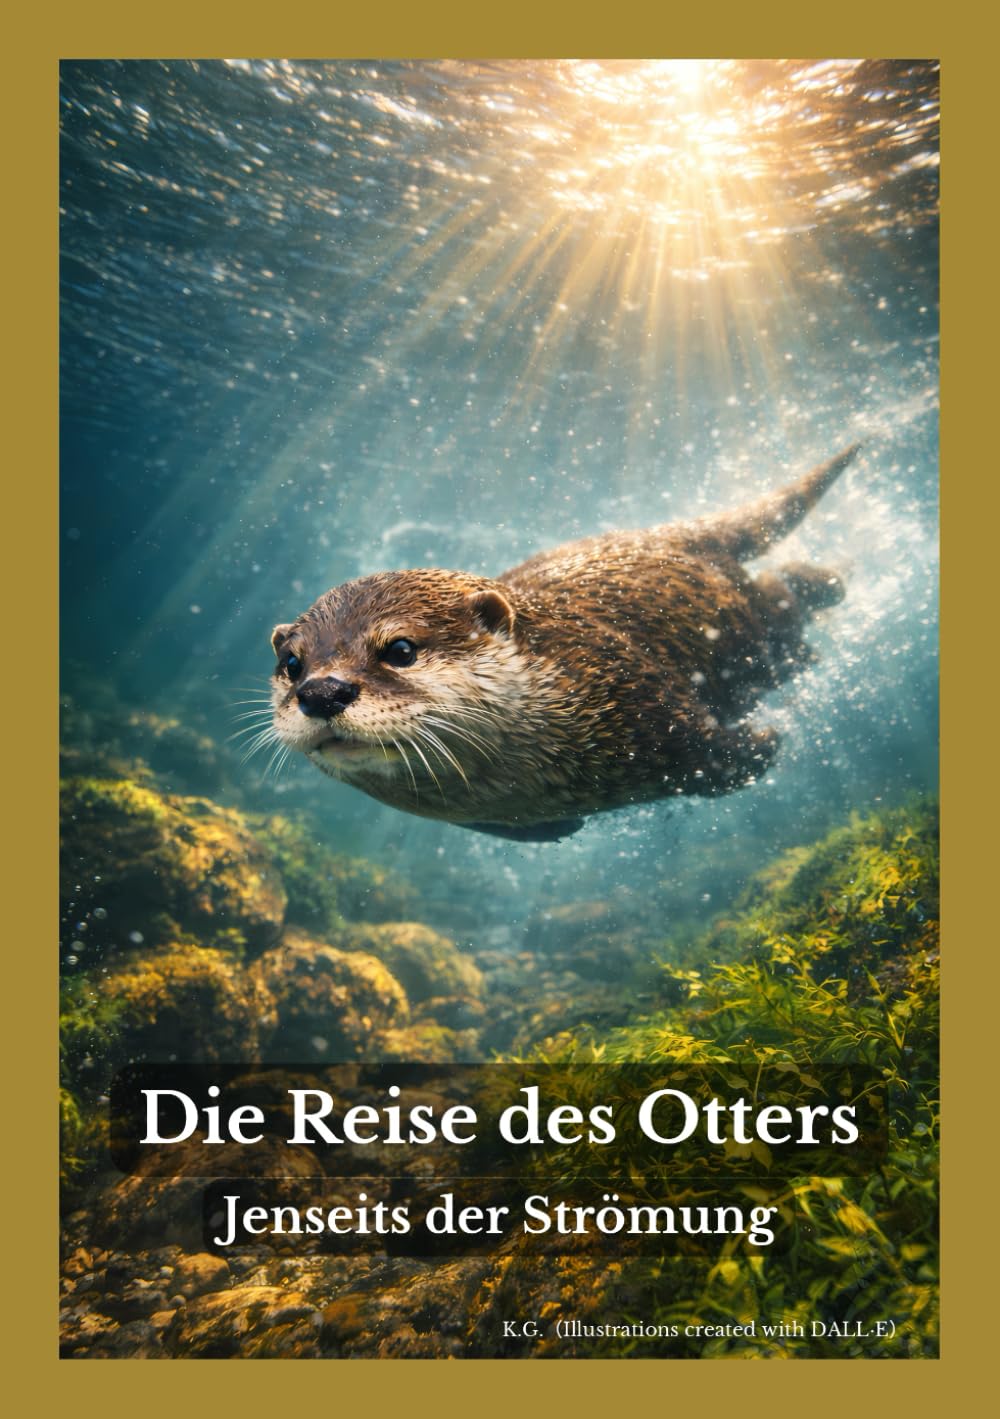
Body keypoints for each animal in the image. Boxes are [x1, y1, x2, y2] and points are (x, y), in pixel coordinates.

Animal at [268, 444, 859, 841]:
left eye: (400, 651)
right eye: (293, 664)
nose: (321, 692)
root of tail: (663, 534)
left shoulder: (639, 690)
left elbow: (718, 756)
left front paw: (766, 742)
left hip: (738, 613)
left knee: (778, 596)